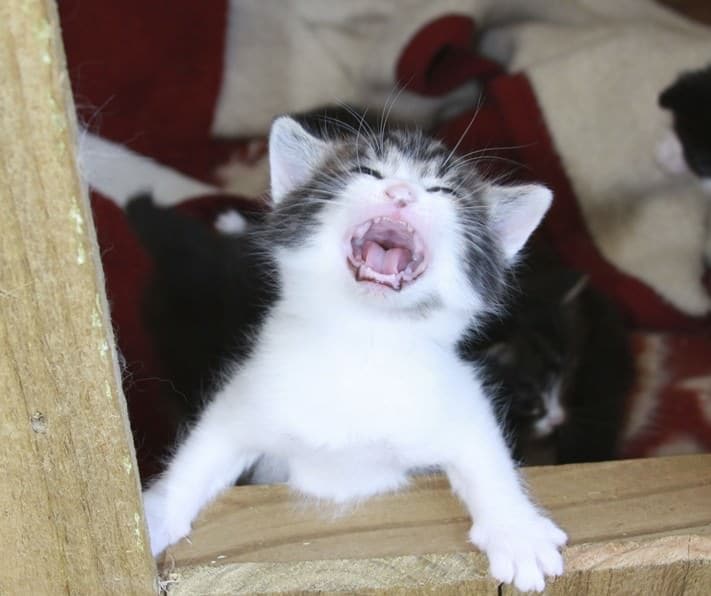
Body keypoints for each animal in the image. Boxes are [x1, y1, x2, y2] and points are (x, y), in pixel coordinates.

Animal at [134, 115, 566, 592]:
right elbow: (203, 449)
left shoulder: (457, 394)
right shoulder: (249, 394)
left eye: (443, 190)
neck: (363, 339)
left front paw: (517, 530)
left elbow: (484, 450)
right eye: (367, 171)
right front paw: (154, 516)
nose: (401, 192)